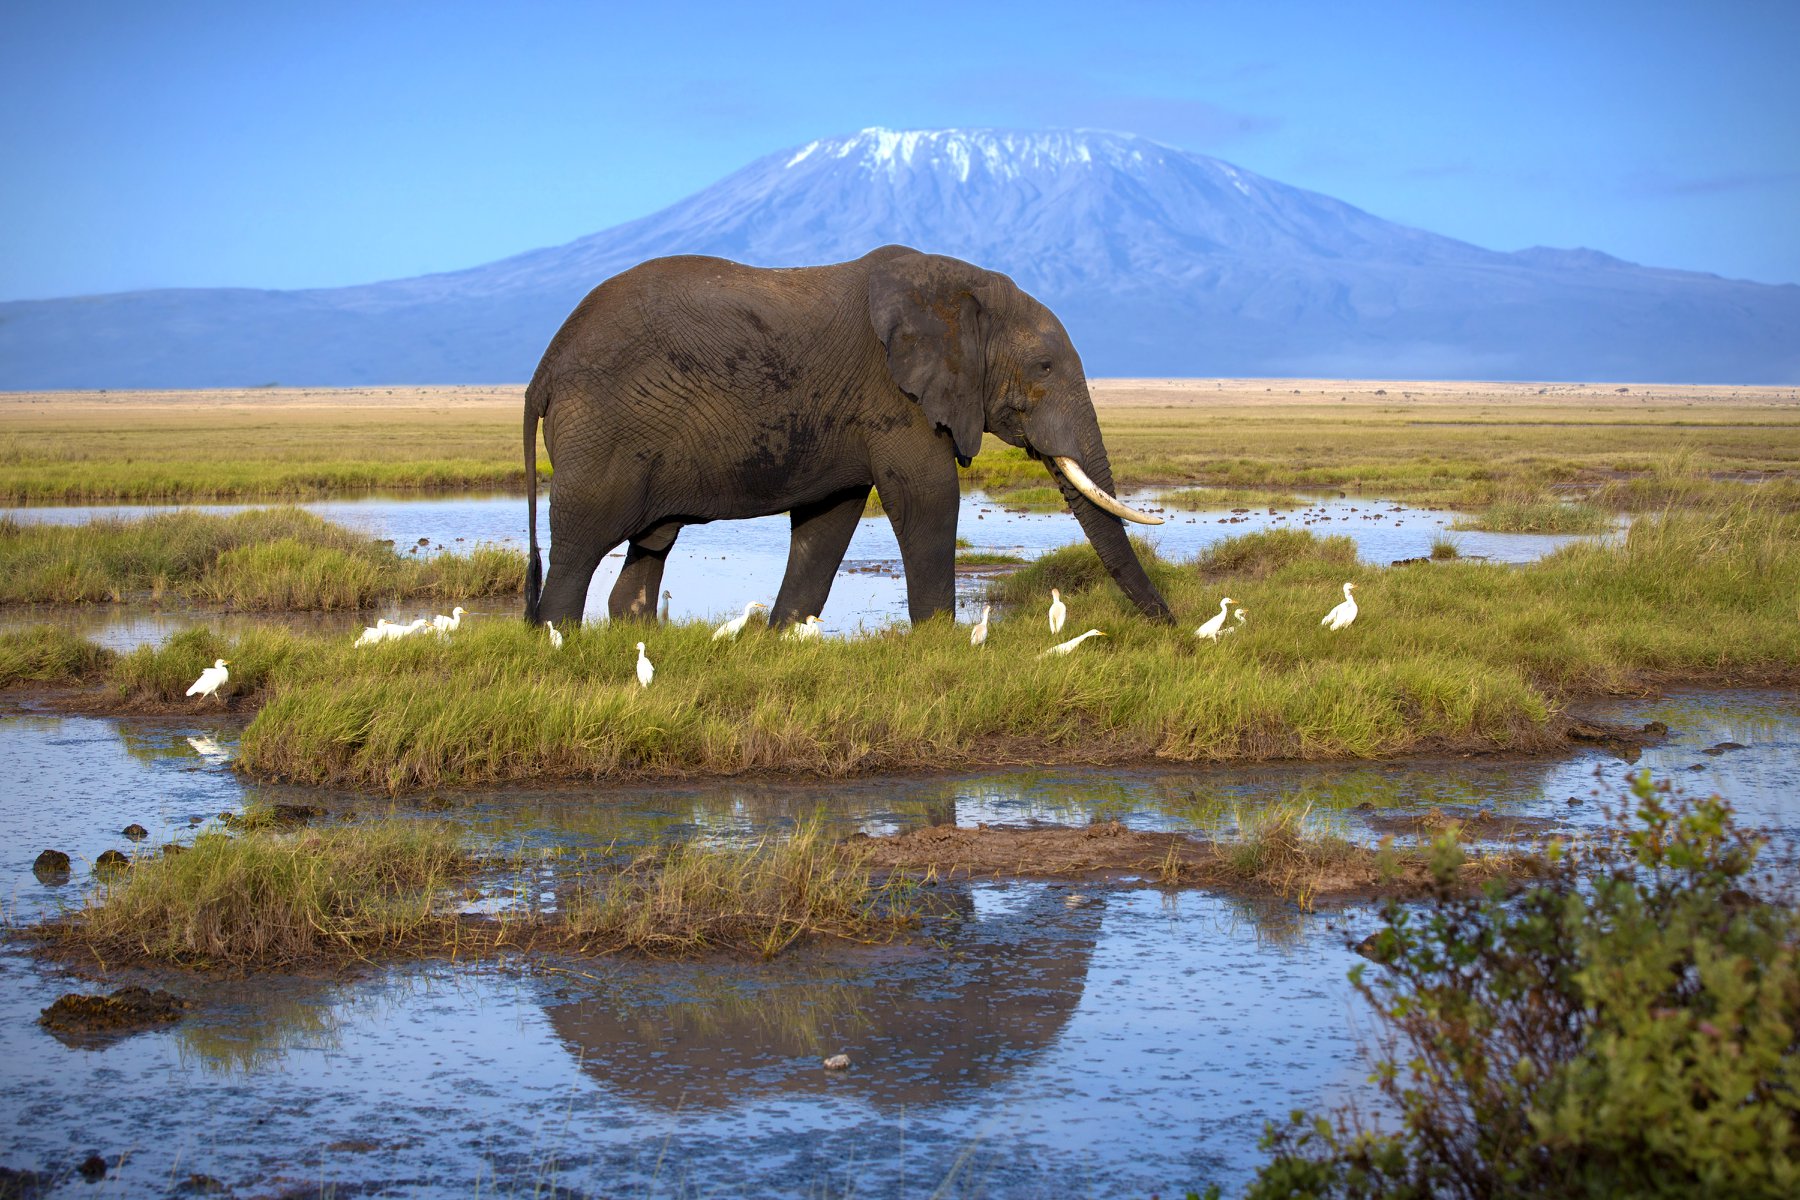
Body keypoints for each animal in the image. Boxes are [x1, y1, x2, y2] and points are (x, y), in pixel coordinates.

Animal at [522, 241, 1173, 629]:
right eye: (1043, 367)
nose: (1173, 633)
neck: (959, 285)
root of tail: (544, 369)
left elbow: (828, 520)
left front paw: (782, 637)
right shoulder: (894, 395)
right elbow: (927, 497)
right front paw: (939, 643)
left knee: (651, 544)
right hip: (601, 429)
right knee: (581, 543)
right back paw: (561, 642)